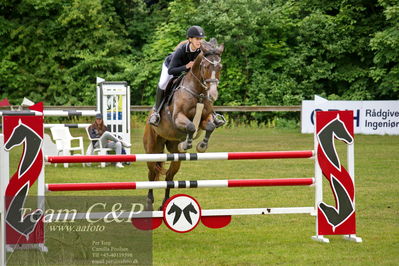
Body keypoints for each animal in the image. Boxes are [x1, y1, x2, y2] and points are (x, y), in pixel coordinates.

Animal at [144, 38, 225, 210]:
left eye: (220, 67)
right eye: (206, 66)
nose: (213, 94)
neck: (198, 92)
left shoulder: (205, 118)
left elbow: (210, 126)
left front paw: (201, 146)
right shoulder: (177, 118)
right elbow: (190, 126)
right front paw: (187, 143)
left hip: (175, 155)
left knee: (169, 176)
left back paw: (165, 203)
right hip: (152, 149)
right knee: (152, 173)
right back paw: (149, 203)